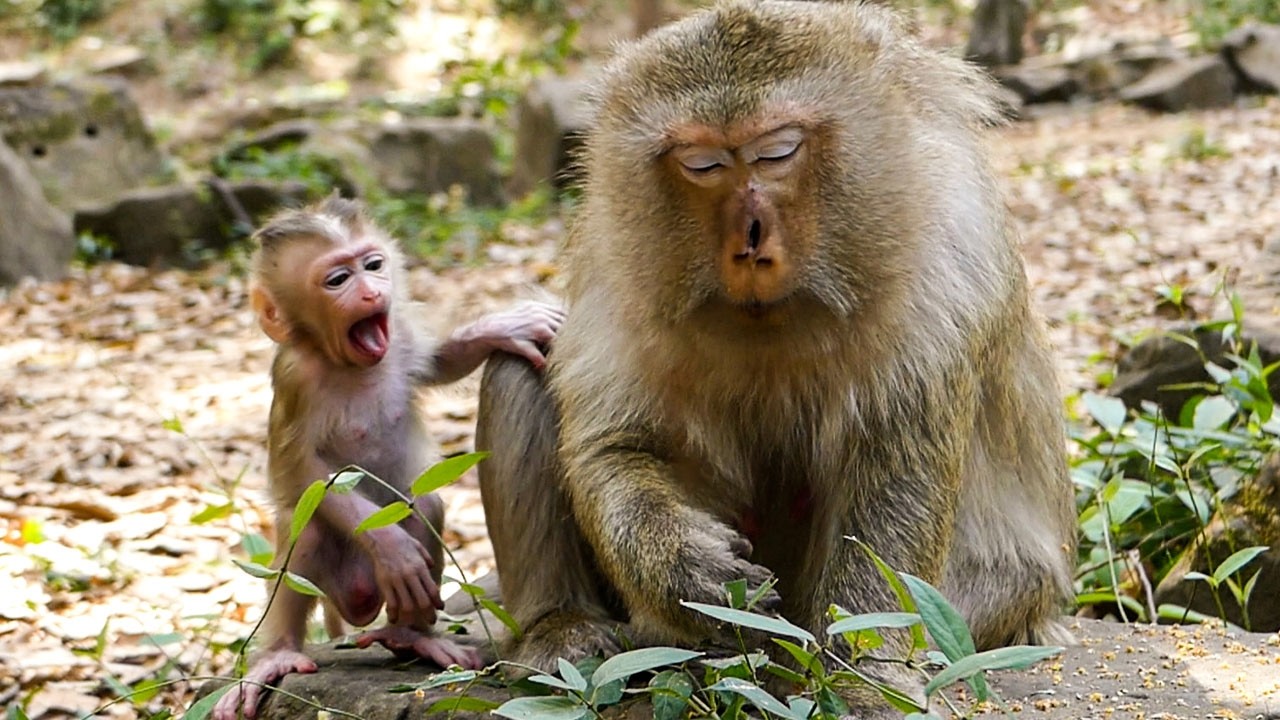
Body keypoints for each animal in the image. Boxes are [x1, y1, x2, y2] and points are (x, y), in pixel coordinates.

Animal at [213, 195, 564, 720]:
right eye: (339, 279)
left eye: (373, 265)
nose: (370, 292)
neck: (345, 363)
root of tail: (360, 600)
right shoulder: (295, 376)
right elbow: (303, 474)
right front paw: (391, 547)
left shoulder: (398, 337)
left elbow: (438, 362)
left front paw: (502, 329)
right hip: (335, 581)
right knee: (308, 527)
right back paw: (277, 655)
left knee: (426, 506)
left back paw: (410, 636)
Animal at [474, 0, 1076, 714]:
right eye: (703, 163)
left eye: (778, 151)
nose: (751, 237)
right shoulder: (618, 257)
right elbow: (616, 446)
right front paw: (682, 565)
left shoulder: (945, 259)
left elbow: (897, 471)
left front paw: (862, 678)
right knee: (523, 365)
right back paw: (559, 626)